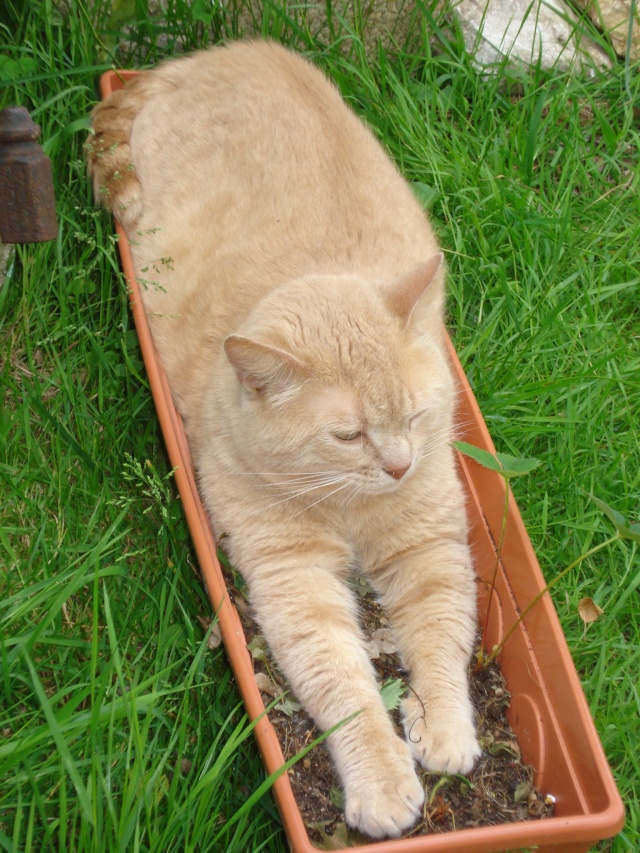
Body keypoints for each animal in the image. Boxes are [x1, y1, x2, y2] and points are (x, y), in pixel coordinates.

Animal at [89, 41, 480, 840]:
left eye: (415, 417)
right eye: (348, 434)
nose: (399, 467)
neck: (349, 506)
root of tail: (199, 58)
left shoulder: (429, 543)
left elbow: (442, 635)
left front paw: (447, 728)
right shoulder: (293, 579)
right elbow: (348, 690)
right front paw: (384, 781)